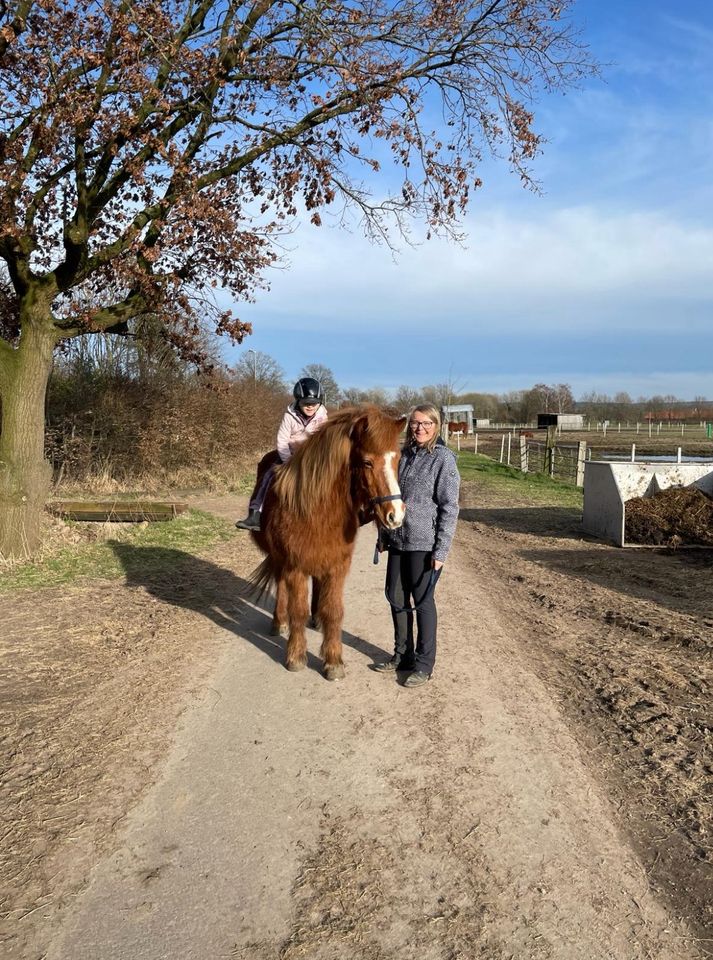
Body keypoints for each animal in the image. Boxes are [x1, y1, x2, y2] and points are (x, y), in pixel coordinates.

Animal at [250, 404, 406, 684]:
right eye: (367, 462)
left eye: (397, 459)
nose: (395, 516)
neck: (317, 508)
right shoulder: (295, 566)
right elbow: (297, 610)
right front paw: (296, 657)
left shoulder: (337, 566)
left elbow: (333, 611)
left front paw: (333, 661)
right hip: (280, 559)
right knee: (281, 587)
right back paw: (279, 623)